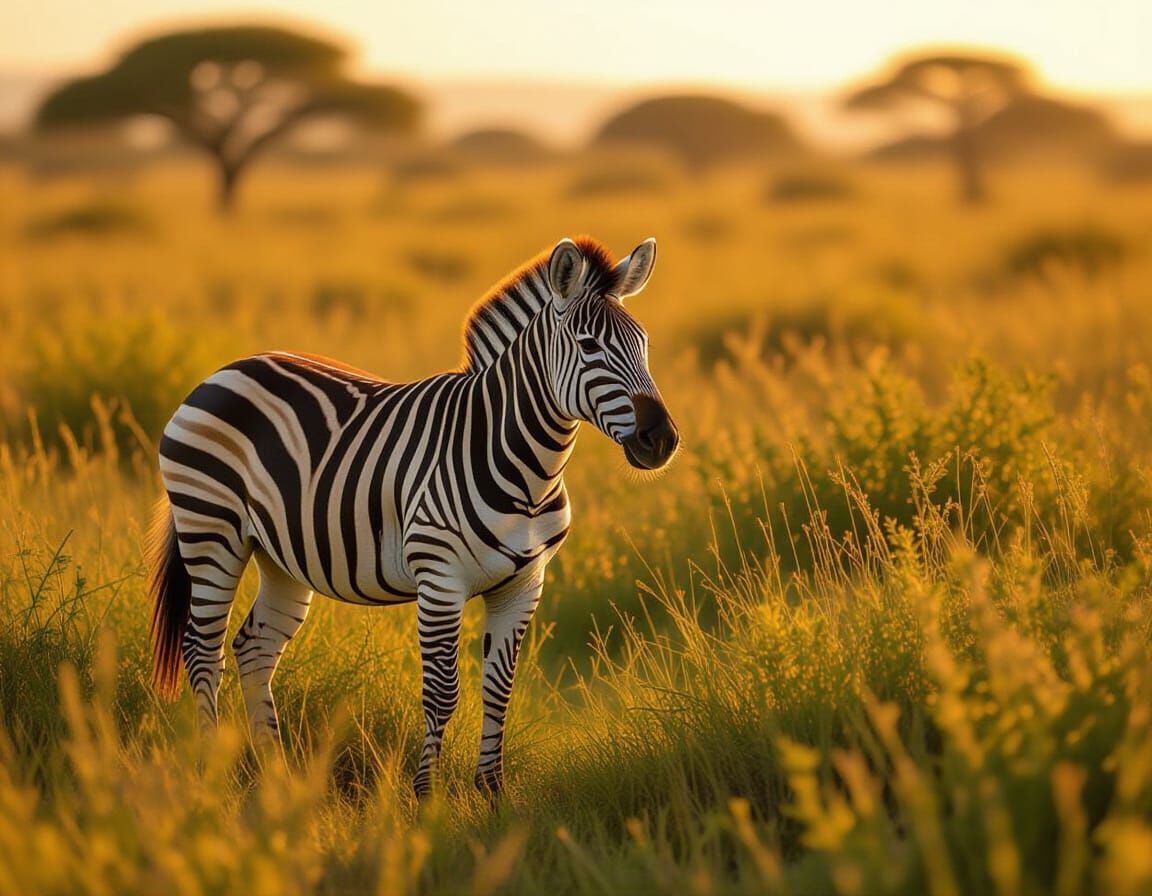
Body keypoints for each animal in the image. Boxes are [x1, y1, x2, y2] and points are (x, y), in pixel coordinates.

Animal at [147, 235, 679, 798]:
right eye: (588, 346)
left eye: (643, 344)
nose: (661, 439)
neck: (523, 467)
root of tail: (223, 371)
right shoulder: (440, 578)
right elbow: (443, 692)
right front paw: (427, 795)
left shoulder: (524, 583)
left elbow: (499, 688)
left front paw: (492, 792)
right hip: (212, 531)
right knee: (203, 651)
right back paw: (212, 773)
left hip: (279, 555)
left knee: (254, 648)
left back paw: (278, 777)